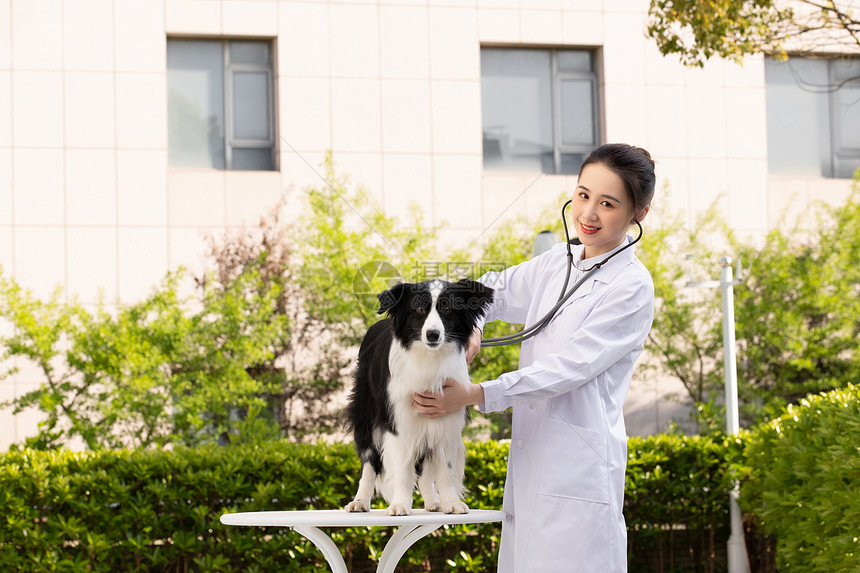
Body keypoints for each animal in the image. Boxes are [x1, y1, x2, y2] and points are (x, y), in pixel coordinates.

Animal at [342, 278, 490, 512]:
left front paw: (451, 502)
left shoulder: (446, 416)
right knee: (369, 459)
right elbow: (402, 469)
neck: (428, 357)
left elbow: (445, 469)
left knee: (425, 467)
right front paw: (400, 505)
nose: (432, 335)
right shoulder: (398, 420)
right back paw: (360, 501)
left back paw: (433, 501)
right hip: (365, 413)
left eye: (447, 309)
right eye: (419, 309)